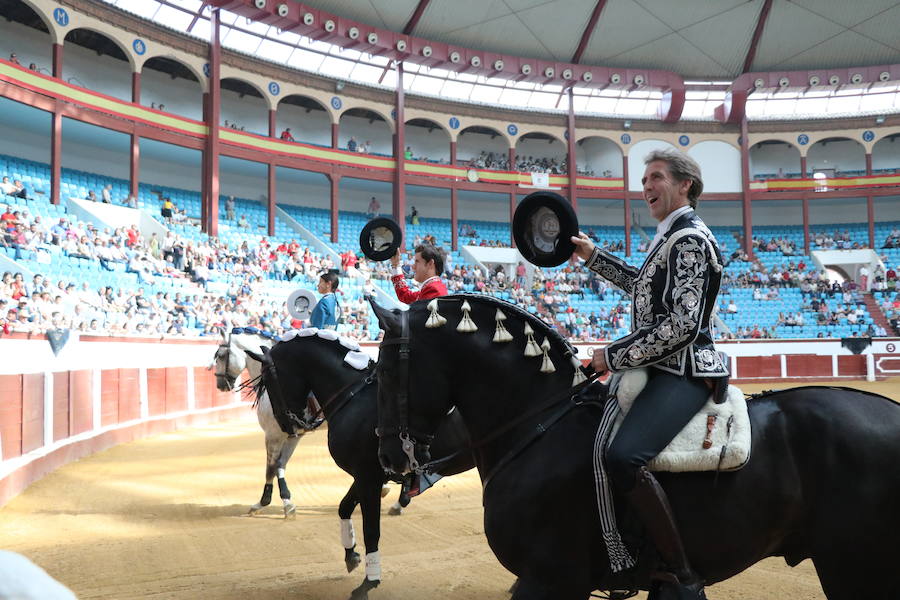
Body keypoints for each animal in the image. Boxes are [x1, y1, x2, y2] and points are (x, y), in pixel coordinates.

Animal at [213, 326, 300, 516]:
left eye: (221, 355)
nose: (220, 384)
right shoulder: (292, 435)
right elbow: (281, 464)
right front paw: (287, 502)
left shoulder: (273, 435)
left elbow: (271, 467)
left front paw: (265, 502)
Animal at [246, 330, 472, 596]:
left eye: (268, 380)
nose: (287, 425)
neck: (353, 396)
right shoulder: (365, 475)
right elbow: (344, 507)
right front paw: (350, 554)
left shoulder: (368, 476)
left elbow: (371, 530)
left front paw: (368, 582)